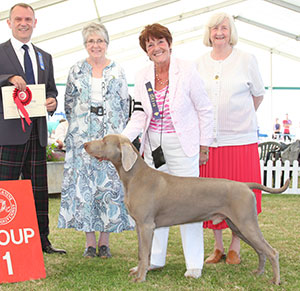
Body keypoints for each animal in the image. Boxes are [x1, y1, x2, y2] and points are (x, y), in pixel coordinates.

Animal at [84, 135, 288, 286]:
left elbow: (145, 253)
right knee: (261, 251)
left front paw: (140, 278)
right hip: (237, 226)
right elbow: (143, 253)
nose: (84, 144)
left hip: (246, 223)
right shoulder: (140, 226)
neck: (135, 176)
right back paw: (259, 272)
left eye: (104, 141)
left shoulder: (146, 225)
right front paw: (139, 271)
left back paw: (276, 280)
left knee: (272, 251)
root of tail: (245, 185)